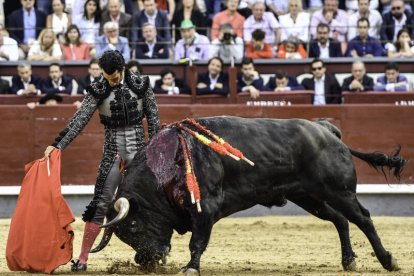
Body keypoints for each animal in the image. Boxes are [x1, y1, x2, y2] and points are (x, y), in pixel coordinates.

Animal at [90, 116, 404, 274]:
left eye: (132, 225)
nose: (145, 261)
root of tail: (326, 130)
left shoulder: (206, 208)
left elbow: (196, 242)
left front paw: (191, 268)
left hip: (339, 190)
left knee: (363, 218)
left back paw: (387, 261)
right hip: (308, 196)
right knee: (340, 220)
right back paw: (348, 261)